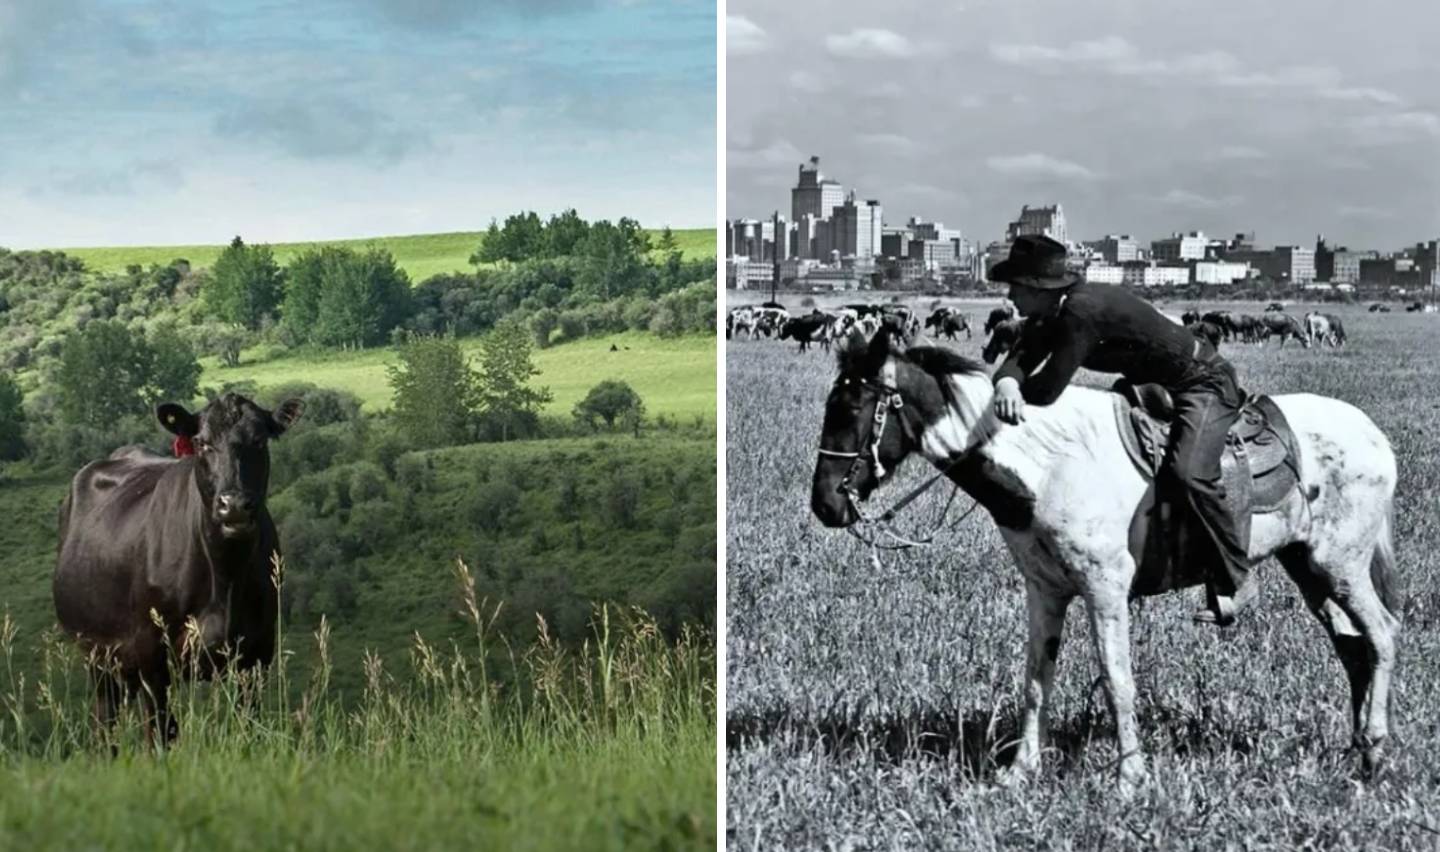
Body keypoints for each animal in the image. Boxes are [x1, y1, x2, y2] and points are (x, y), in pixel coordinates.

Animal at [54, 391, 303, 736]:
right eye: (201, 443)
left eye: (259, 440)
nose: (234, 505)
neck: (225, 575)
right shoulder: (152, 657)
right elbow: (161, 732)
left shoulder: (256, 655)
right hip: (97, 655)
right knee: (106, 723)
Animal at [817, 329, 1399, 794]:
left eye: (852, 409)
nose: (824, 504)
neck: (1048, 465)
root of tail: (1374, 436)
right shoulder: (1045, 591)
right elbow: (1036, 680)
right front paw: (1021, 771)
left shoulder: (1105, 589)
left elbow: (1118, 680)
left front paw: (1130, 778)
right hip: (1309, 567)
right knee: (1353, 649)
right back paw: (1357, 749)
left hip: (1341, 565)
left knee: (1383, 635)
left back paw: (1375, 748)